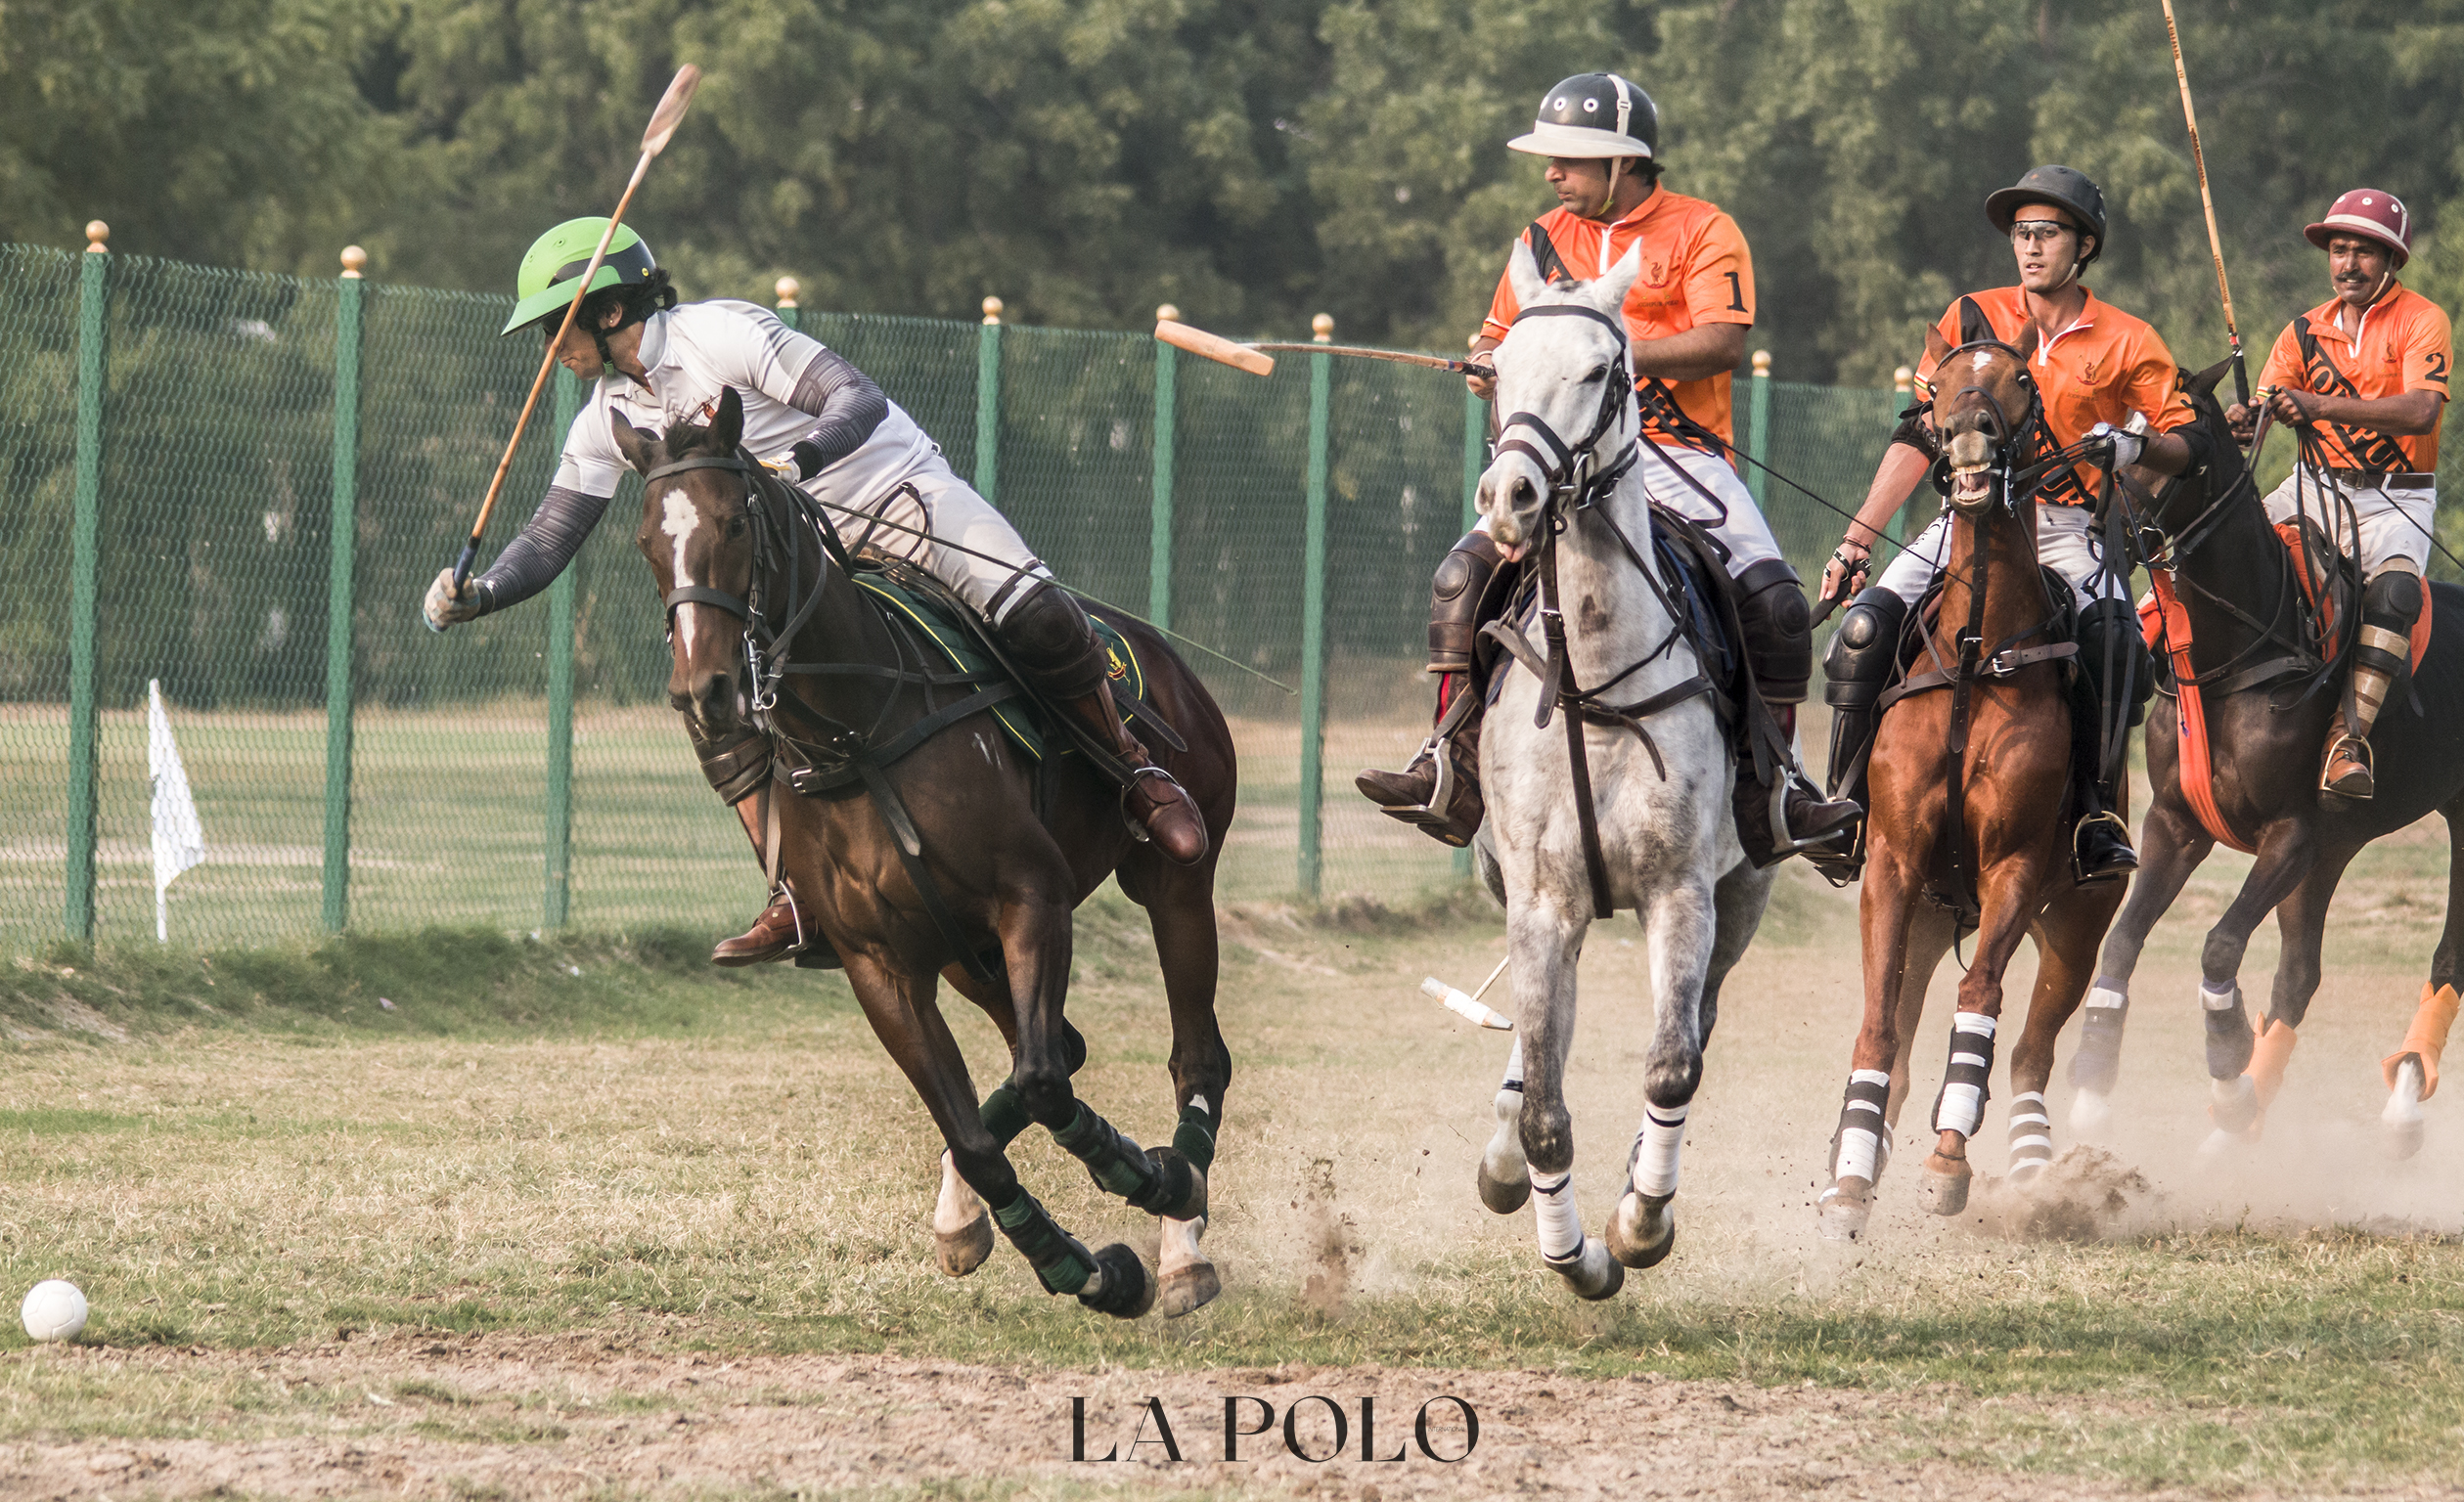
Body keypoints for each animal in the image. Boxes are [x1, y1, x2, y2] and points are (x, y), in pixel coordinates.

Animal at [608, 386, 1241, 1309]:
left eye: (733, 524)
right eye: (648, 542)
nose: (704, 690)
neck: (858, 735)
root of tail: (1156, 648)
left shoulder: (1031, 899)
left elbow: (1043, 1082)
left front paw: (1146, 1179)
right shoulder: (881, 965)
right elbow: (984, 1125)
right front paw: (1080, 1268)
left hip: (1173, 884)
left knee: (1192, 1055)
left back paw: (1182, 1238)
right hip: (960, 949)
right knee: (1047, 1057)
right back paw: (977, 1217)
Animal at [1458, 245, 1773, 1300]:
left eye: (1604, 372)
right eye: (1496, 370)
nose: (1509, 498)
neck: (1596, 679)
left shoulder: (1683, 893)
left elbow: (1672, 1064)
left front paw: (1637, 1222)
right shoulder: (1538, 899)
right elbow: (1543, 1110)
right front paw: (1572, 1253)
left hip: (1743, 894)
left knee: (1696, 1028)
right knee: (1529, 1046)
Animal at [1823, 330, 2128, 1241]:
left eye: (2021, 378)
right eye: (1937, 385)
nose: (1967, 440)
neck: (1973, 649)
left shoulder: (2014, 867)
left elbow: (1982, 998)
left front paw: (1947, 1161)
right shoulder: (1891, 865)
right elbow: (1878, 1026)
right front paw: (1847, 1180)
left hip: (2078, 919)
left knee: (2030, 1049)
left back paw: (2032, 1168)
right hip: (1928, 914)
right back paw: (1867, 1152)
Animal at [2059, 369, 2464, 1152]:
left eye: (2183, 450)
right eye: (2117, 442)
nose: (2106, 534)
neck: (2234, 654)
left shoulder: (2289, 833)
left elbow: (2219, 946)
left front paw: (2226, 1060)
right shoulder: (2177, 823)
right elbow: (2121, 942)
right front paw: (2093, 1084)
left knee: (2446, 953)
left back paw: (2401, 1102)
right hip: (2336, 845)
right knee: (2299, 974)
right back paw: (2239, 1127)